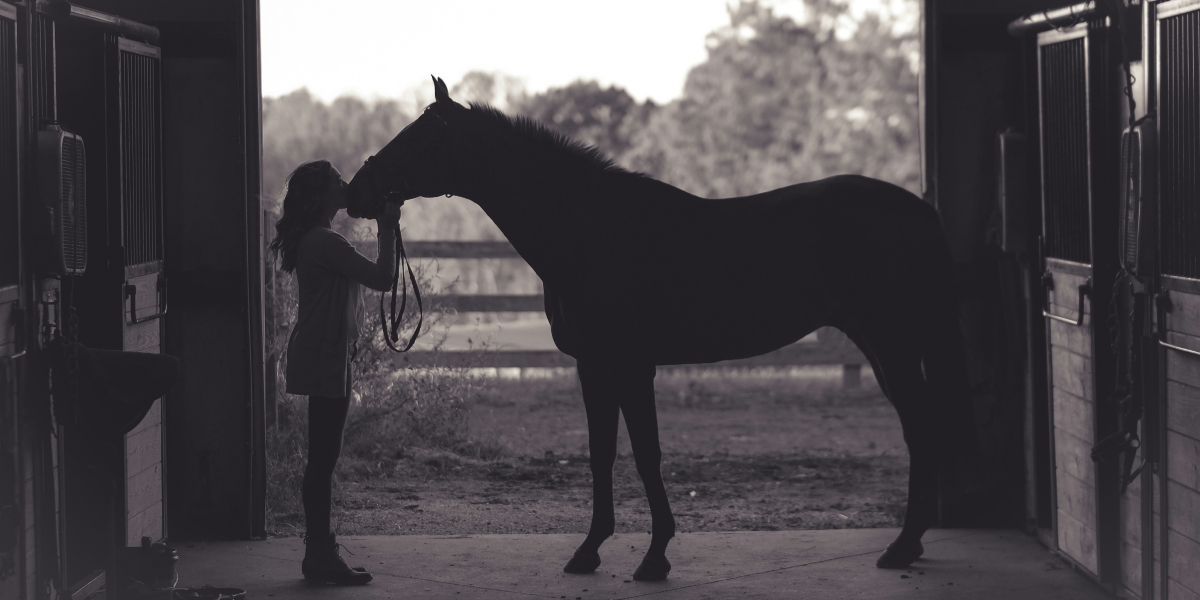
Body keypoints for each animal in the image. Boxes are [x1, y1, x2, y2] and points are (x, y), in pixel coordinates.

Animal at [347, 76, 977, 581]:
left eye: (418, 138)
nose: (356, 191)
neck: (590, 229)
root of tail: (919, 209)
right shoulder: (593, 367)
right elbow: (602, 454)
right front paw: (589, 552)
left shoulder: (632, 366)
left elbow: (647, 455)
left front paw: (654, 559)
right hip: (880, 345)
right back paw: (909, 545)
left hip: (893, 344)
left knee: (921, 430)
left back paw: (901, 548)